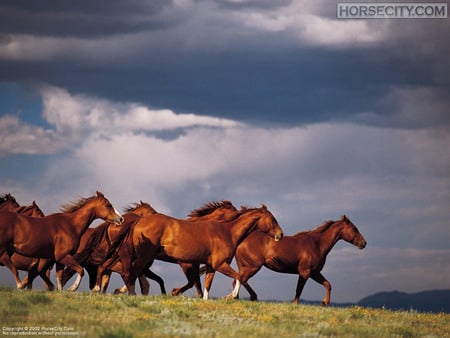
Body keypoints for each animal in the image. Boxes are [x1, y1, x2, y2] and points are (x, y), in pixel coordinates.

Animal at [121, 203, 284, 298]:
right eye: (273, 219)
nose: (280, 235)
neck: (226, 232)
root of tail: (138, 221)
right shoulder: (218, 264)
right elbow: (239, 277)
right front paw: (231, 296)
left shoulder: (210, 266)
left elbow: (206, 285)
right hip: (144, 256)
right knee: (133, 273)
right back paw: (131, 294)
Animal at [232, 215, 366, 304]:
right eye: (354, 228)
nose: (364, 243)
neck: (317, 244)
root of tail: (241, 242)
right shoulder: (305, 272)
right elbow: (298, 291)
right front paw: (295, 304)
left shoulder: (314, 272)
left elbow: (328, 284)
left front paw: (325, 303)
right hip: (253, 266)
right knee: (242, 279)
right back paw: (250, 297)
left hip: (245, 267)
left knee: (237, 279)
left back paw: (236, 298)